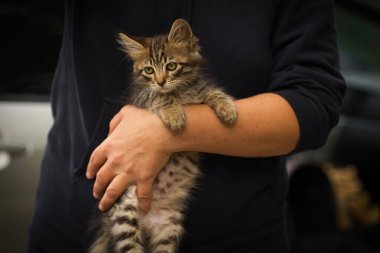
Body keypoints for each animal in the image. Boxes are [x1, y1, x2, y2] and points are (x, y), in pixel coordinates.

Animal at [90, 18, 238, 253]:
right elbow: (160, 97)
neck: (181, 91)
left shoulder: (198, 90)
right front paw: (174, 114)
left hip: (169, 228)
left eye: (171, 66)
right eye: (149, 70)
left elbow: (211, 91)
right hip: (125, 211)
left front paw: (227, 108)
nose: (160, 81)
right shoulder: (142, 99)